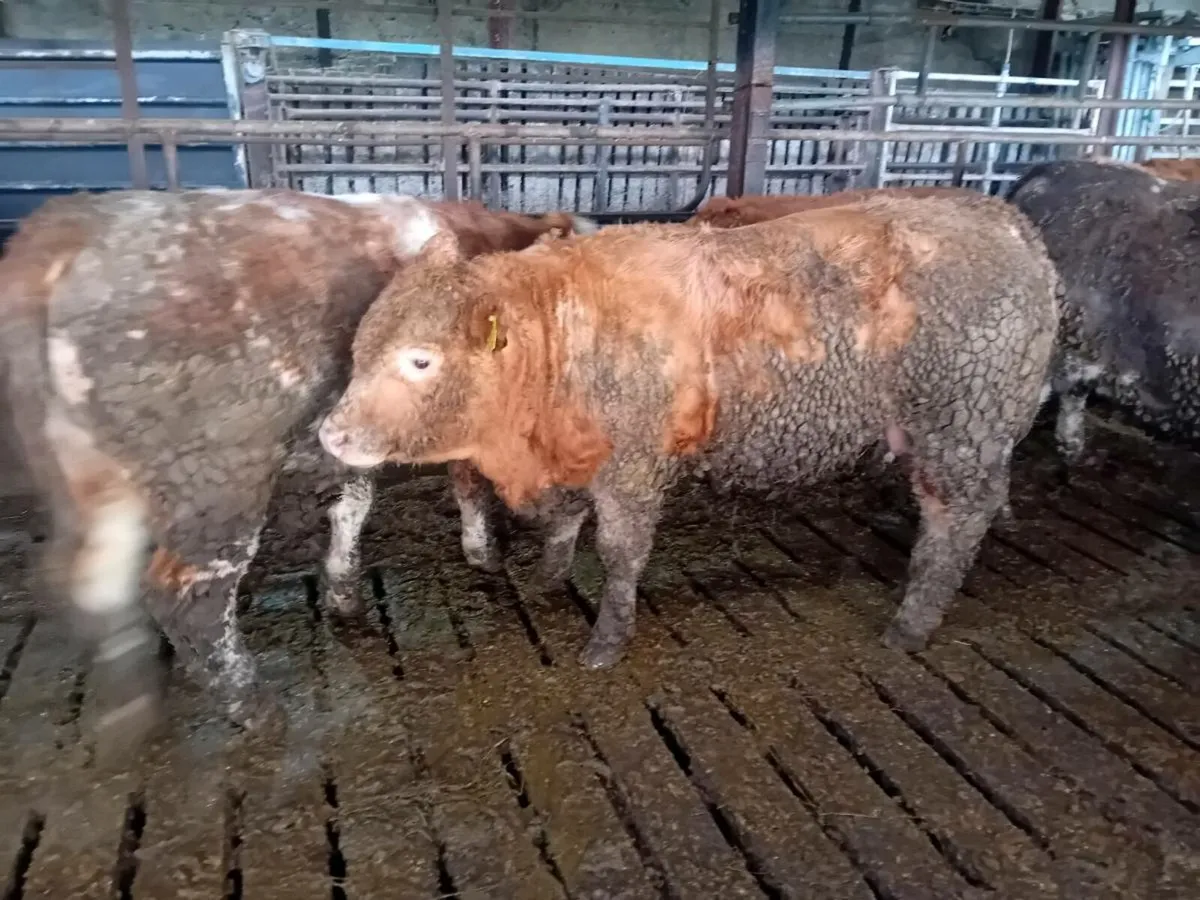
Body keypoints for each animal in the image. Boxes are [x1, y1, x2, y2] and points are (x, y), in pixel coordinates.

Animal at [0, 187, 596, 754]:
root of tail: (73, 225)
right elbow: (468, 484)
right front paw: (487, 553)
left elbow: (354, 504)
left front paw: (345, 594)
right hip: (219, 485)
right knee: (185, 597)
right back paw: (255, 708)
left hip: (89, 474)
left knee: (87, 578)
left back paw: (128, 711)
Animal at [318, 192, 1060, 667]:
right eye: (360, 347)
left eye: (420, 359)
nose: (333, 434)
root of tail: (1005, 220)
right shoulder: (578, 452)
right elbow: (563, 524)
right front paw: (549, 578)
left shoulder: (633, 468)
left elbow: (620, 553)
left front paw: (607, 640)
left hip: (963, 422)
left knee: (957, 518)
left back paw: (912, 622)